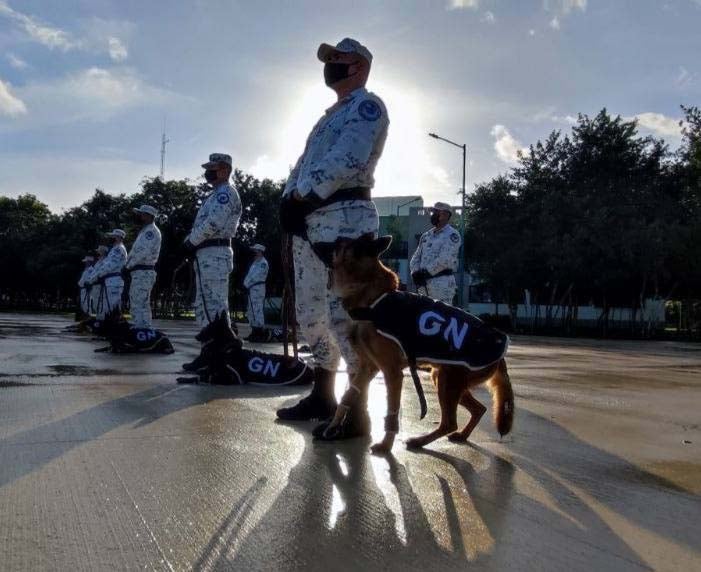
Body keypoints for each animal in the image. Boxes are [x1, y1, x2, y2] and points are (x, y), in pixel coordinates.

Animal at [179, 312, 314, 388]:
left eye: (207, 327)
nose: (196, 336)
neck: (227, 350)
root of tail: (310, 368)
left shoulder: (227, 379)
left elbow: (202, 377)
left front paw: (187, 378)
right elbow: (203, 372)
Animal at [318, 235, 516, 454]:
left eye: (338, 242)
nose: (313, 241)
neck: (374, 300)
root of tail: (501, 351)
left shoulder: (392, 373)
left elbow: (392, 411)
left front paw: (386, 445)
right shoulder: (367, 369)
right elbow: (346, 397)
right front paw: (334, 425)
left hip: (447, 382)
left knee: (450, 422)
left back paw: (419, 441)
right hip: (445, 380)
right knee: (478, 409)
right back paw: (461, 436)